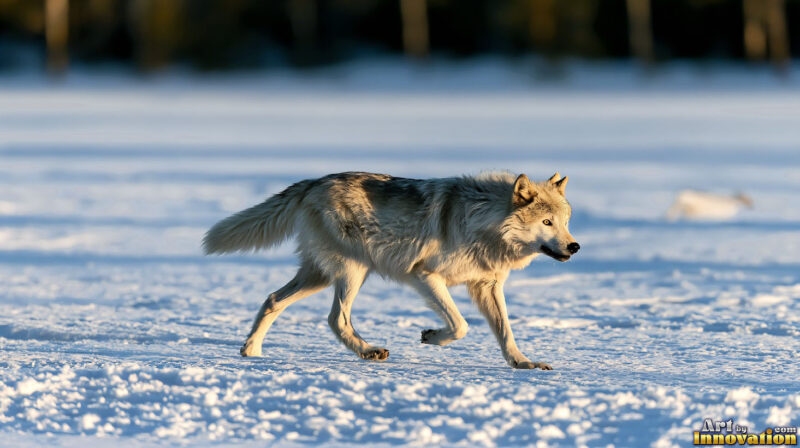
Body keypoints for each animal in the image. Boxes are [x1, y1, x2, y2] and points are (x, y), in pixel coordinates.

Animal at [203, 171, 579, 369]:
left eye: (565, 222)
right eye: (547, 222)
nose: (575, 246)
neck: (482, 221)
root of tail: (313, 182)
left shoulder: (488, 286)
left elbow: (505, 332)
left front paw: (523, 364)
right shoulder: (425, 276)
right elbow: (460, 325)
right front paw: (431, 337)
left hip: (320, 276)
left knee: (272, 300)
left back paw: (251, 352)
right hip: (352, 272)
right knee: (336, 318)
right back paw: (369, 351)